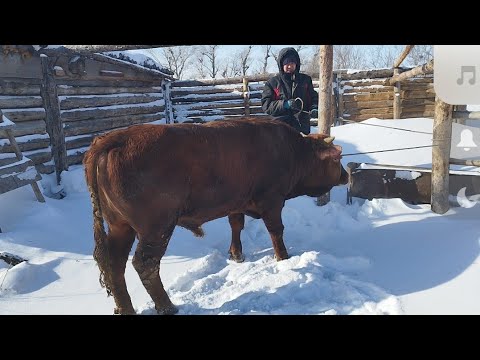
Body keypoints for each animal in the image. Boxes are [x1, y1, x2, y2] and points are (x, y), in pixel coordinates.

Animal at [83, 116, 348, 314]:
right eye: (337, 159)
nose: (346, 175)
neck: (292, 150)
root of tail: (113, 138)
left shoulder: (237, 202)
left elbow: (236, 224)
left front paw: (237, 254)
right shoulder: (272, 201)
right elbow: (276, 231)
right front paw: (283, 258)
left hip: (120, 226)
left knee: (114, 264)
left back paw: (125, 309)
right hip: (156, 228)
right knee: (145, 264)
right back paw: (167, 306)